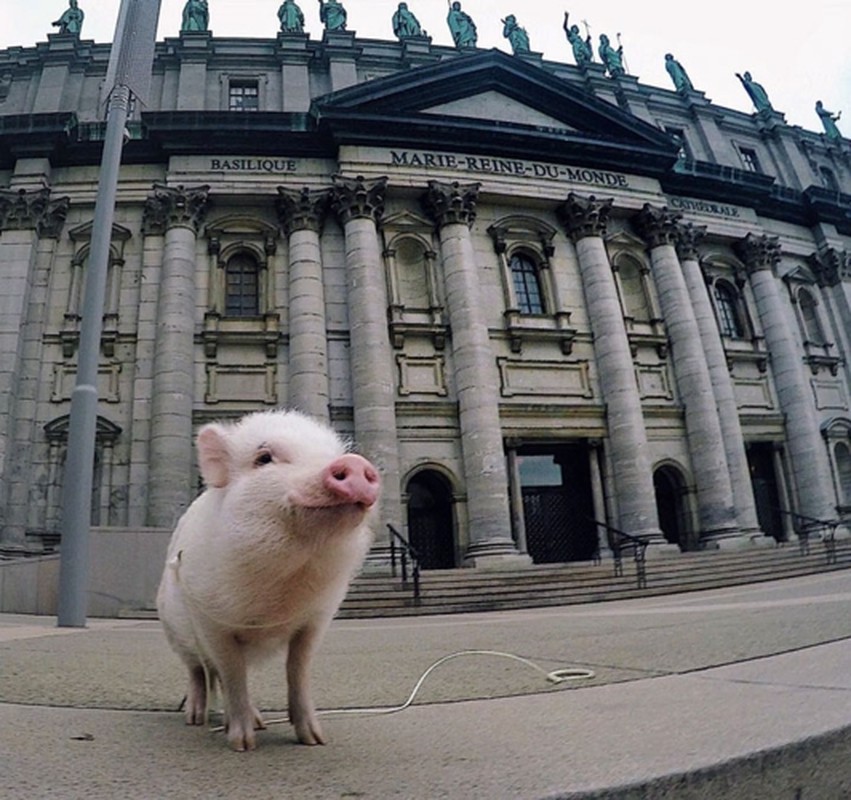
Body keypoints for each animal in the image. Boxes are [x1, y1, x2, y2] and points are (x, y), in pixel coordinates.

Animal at [156, 410, 380, 752]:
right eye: (263, 458)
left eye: (334, 453)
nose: (354, 462)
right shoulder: (211, 622)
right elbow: (233, 672)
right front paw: (242, 745)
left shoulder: (316, 618)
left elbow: (298, 669)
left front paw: (315, 740)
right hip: (176, 631)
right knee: (199, 670)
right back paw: (195, 718)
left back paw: (258, 721)